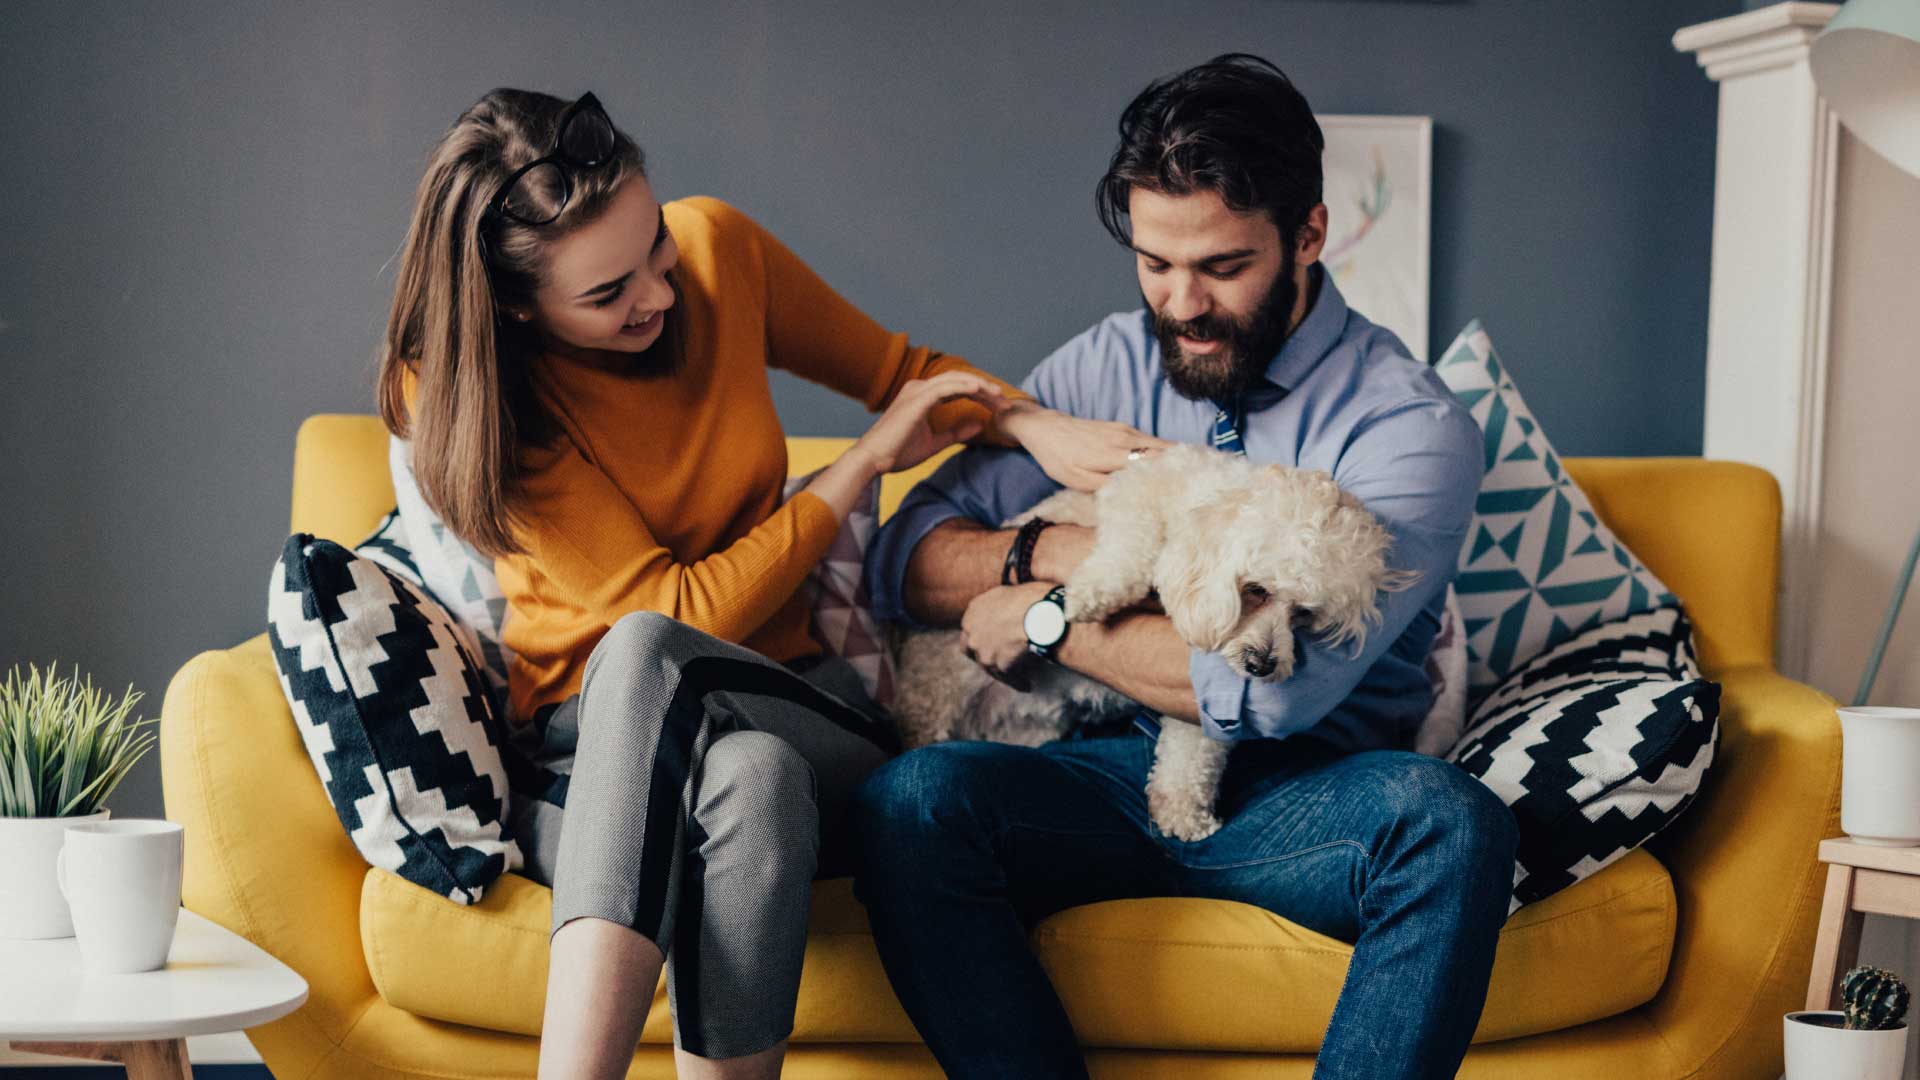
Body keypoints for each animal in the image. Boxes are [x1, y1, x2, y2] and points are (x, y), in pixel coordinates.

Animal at [887, 441, 1413, 837]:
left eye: (1304, 613)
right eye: (1257, 590)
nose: (1262, 665)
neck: (1206, 508)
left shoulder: (1200, 687)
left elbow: (1193, 749)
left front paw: (1183, 813)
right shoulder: (1136, 487)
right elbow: (1132, 545)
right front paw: (1093, 592)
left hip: (1029, 729)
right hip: (934, 690)